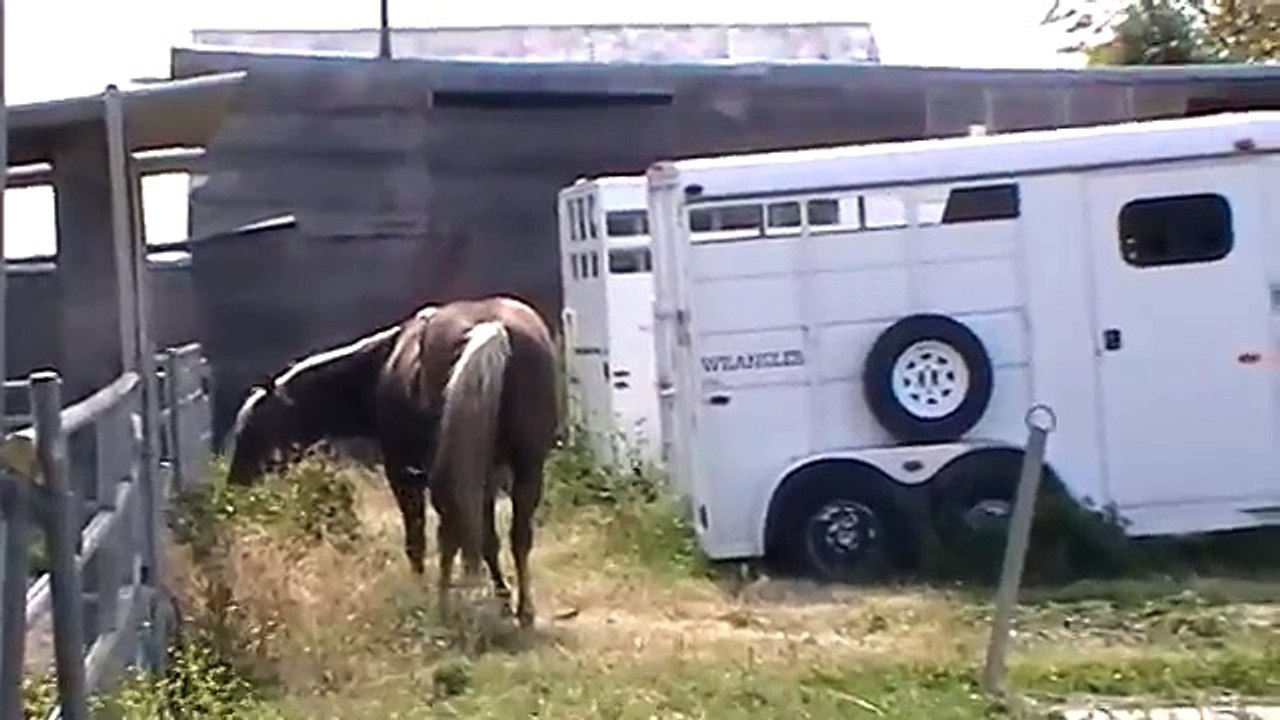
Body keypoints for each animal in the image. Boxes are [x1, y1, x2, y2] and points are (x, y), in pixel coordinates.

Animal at [224, 295, 560, 627]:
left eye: (256, 429)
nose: (235, 483)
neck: (382, 364)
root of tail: (492, 329)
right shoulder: (485, 476)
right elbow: (488, 540)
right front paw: (502, 601)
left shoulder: (403, 476)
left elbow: (417, 541)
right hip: (526, 467)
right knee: (516, 536)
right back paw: (522, 611)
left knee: (450, 533)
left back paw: (444, 606)